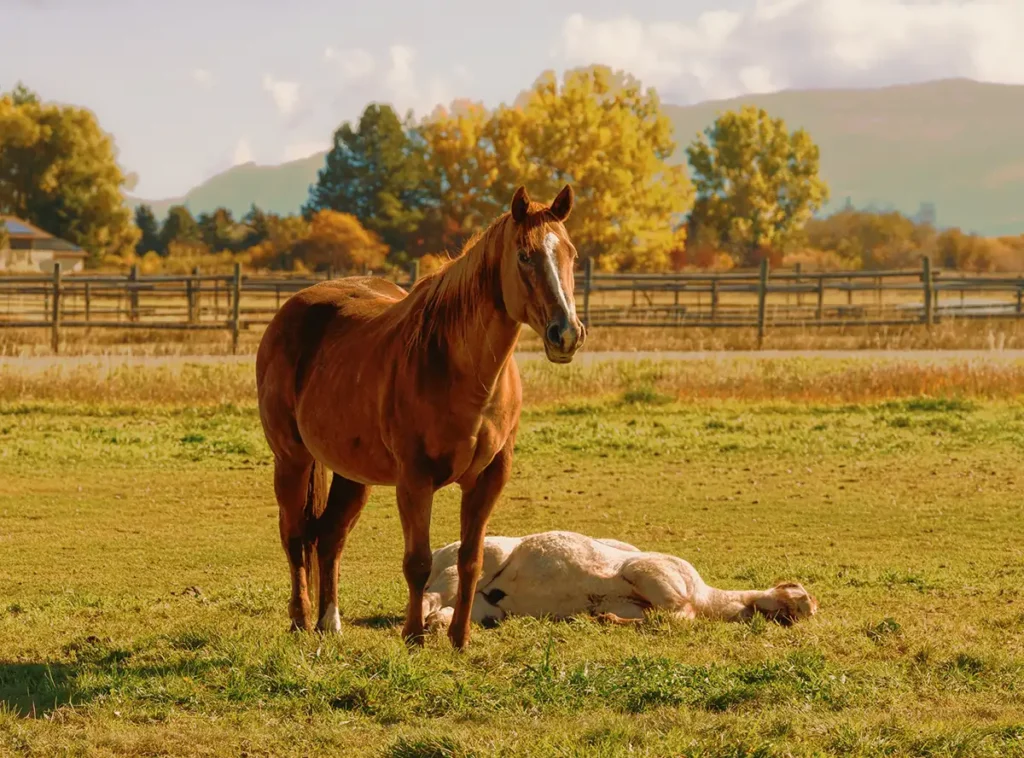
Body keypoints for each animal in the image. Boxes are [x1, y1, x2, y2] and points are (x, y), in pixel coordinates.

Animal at [255, 184, 585, 649]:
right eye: (524, 255)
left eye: (571, 253)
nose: (566, 333)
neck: (462, 371)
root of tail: (293, 309)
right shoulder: (414, 479)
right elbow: (418, 561)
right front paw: (413, 636)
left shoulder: (490, 477)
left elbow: (471, 559)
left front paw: (460, 638)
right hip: (292, 459)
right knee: (296, 534)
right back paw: (301, 619)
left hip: (353, 474)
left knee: (330, 536)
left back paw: (330, 622)